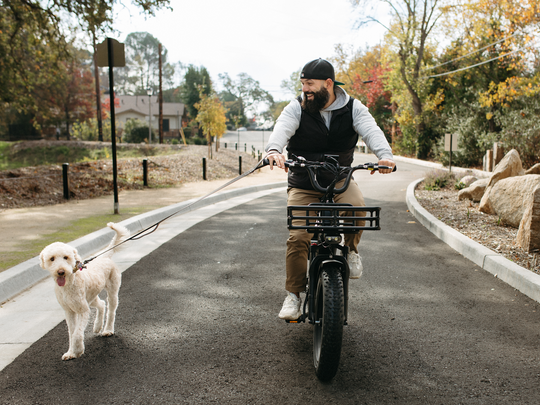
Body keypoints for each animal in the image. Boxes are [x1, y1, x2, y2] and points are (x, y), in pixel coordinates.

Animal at [39, 221, 130, 360]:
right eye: (52, 258)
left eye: (66, 257)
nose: (61, 271)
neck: (69, 284)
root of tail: (105, 257)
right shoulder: (69, 311)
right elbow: (72, 333)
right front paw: (70, 352)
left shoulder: (83, 310)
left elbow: (77, 333)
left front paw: (78, 350)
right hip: (91, 298)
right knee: (101, 304)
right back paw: (97, 325)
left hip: (112, 292)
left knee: (111, 311)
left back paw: (108, 330)